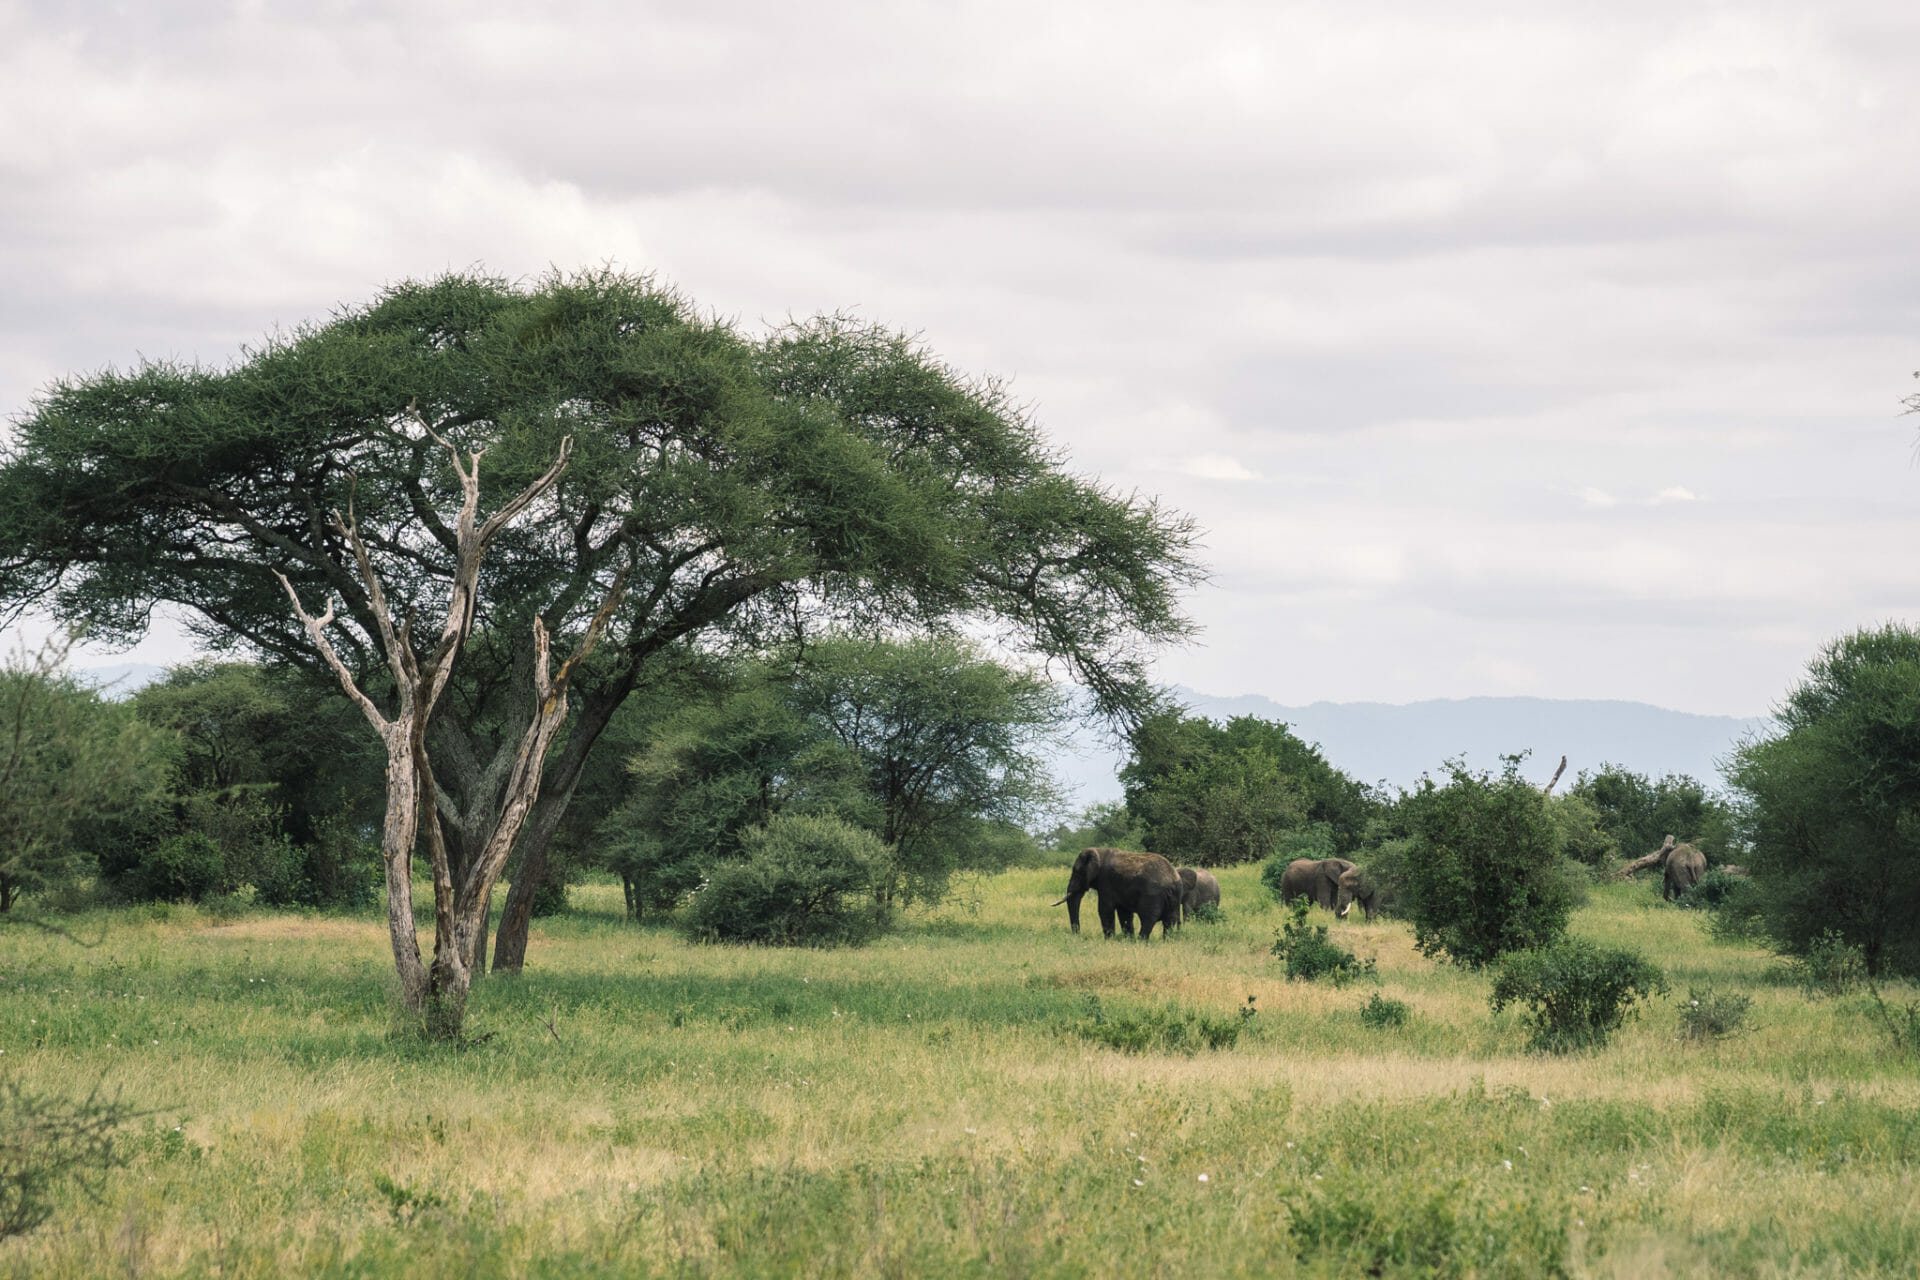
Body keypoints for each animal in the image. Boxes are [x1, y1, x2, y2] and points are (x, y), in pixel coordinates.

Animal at [1054, 847, 1183, 939]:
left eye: (1077, 872)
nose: (1077, 935)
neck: (1099, 851)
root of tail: (1172, 879)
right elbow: (1124, 913)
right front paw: (1127, 939)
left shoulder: (1106, 881)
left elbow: (1105, 910)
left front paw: (1109, 940)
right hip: (1175, 897)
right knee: (1170, 921)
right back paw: (1166, 941)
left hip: (1152, 895)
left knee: (1148, 919)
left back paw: (1141, 941)